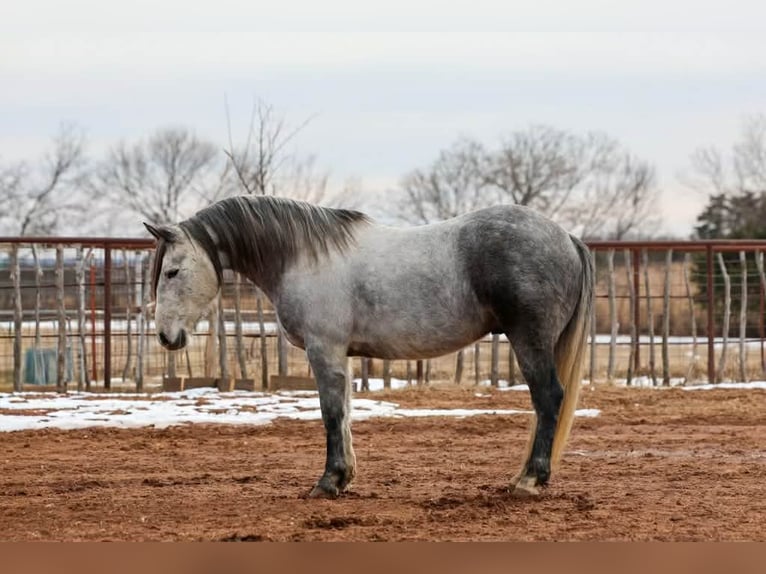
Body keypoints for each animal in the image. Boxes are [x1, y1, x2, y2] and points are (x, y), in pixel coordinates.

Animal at [144, 195, 594, 498]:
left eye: (172, 271)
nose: (166, 336)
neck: (303, 256)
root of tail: (567, 238)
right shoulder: (339, 355)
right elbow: (344, 414)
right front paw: (345, 477)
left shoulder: (323, 350)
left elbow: (331, 414)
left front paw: (328, 482)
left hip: (530, 340)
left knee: (548, 399)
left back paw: (530, 480)